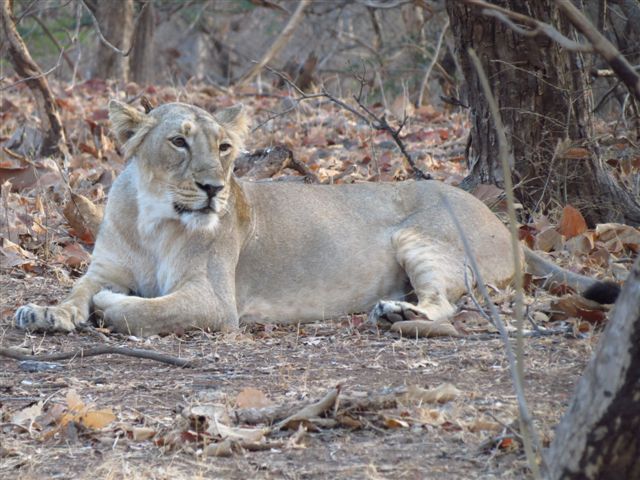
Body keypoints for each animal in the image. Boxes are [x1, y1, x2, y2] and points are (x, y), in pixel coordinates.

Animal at [12, 100, 616, 338]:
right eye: (179, 142)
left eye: (225, 148)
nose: (213, 188)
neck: (154, 221)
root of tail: (501, 219)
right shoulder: (103, 265)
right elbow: (75, 290)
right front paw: (44, 313)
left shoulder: (214, 300)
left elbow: (141, 311)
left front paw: (110, 307)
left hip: (420, 235)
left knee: (447, 305)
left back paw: (398, 313)